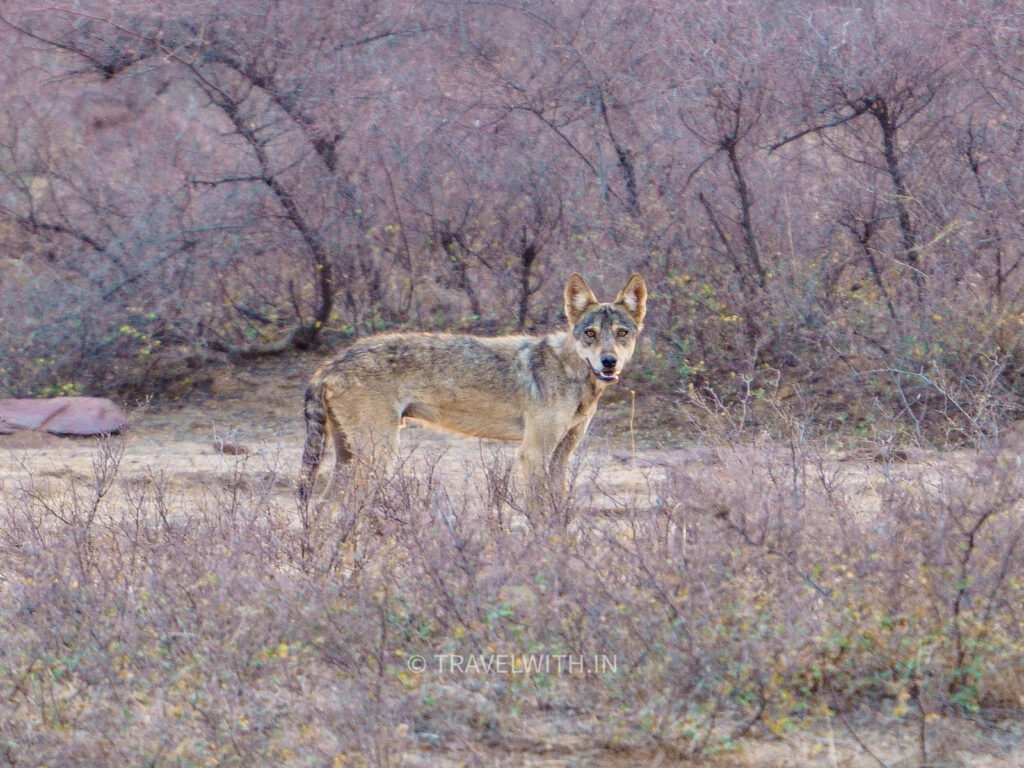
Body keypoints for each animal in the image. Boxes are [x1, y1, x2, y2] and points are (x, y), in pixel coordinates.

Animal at [299, 274, 647, 507]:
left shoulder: (562, 455)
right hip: (378, 455)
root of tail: (330, 364)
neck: (573, 375)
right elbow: (540, 511)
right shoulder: (533, 452)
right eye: (590, 333)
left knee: (322, 507)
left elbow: (558, 507)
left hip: (350, 458)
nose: (609, 362)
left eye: (622, 333)